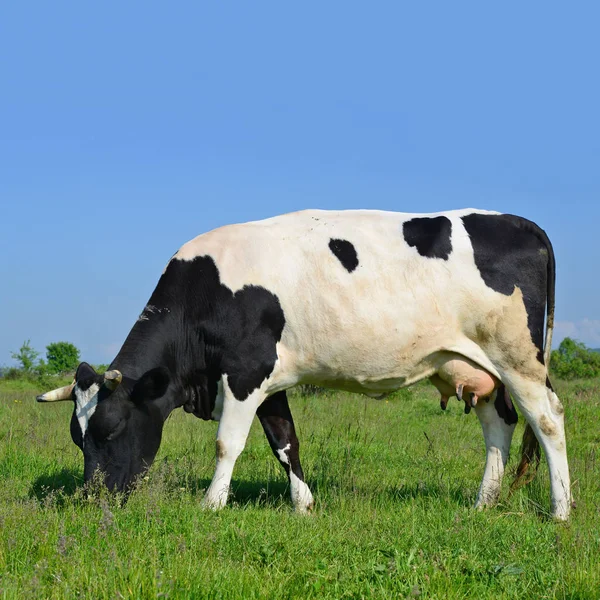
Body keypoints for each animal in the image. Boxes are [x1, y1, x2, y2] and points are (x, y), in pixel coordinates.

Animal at [35, 210, 568, 520]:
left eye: (112, 429)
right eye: (77, 437)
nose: (93, 499)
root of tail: (521, 222)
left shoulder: (244, 373)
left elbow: (228, 443)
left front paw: (211, 505)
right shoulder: (268, 382)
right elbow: (284, 441)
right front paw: (303, 505)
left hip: (518, 359)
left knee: (548, 421)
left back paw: (561, 510)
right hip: (476, 367)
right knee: (499, 425)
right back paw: (482, 504)